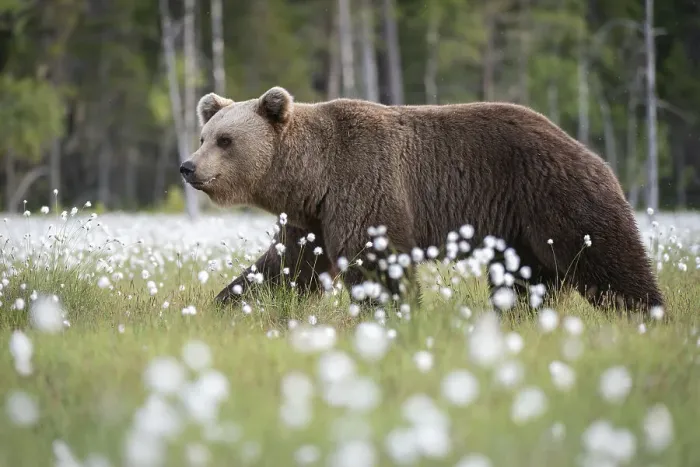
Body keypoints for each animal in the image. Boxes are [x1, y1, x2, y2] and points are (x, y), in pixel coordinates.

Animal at [179, 86, 664, 314]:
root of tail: (591, 152)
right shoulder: (312, 218)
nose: (188, 166)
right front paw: (227, 303)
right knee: (524, 280)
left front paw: (391, 312)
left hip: (554, 196)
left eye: (225, 140)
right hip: (518, 233)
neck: (310, 177)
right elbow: (286, 266)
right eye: (205, 135)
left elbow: (376, 259)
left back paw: (646, 311)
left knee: (608, 259)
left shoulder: (363, 180)